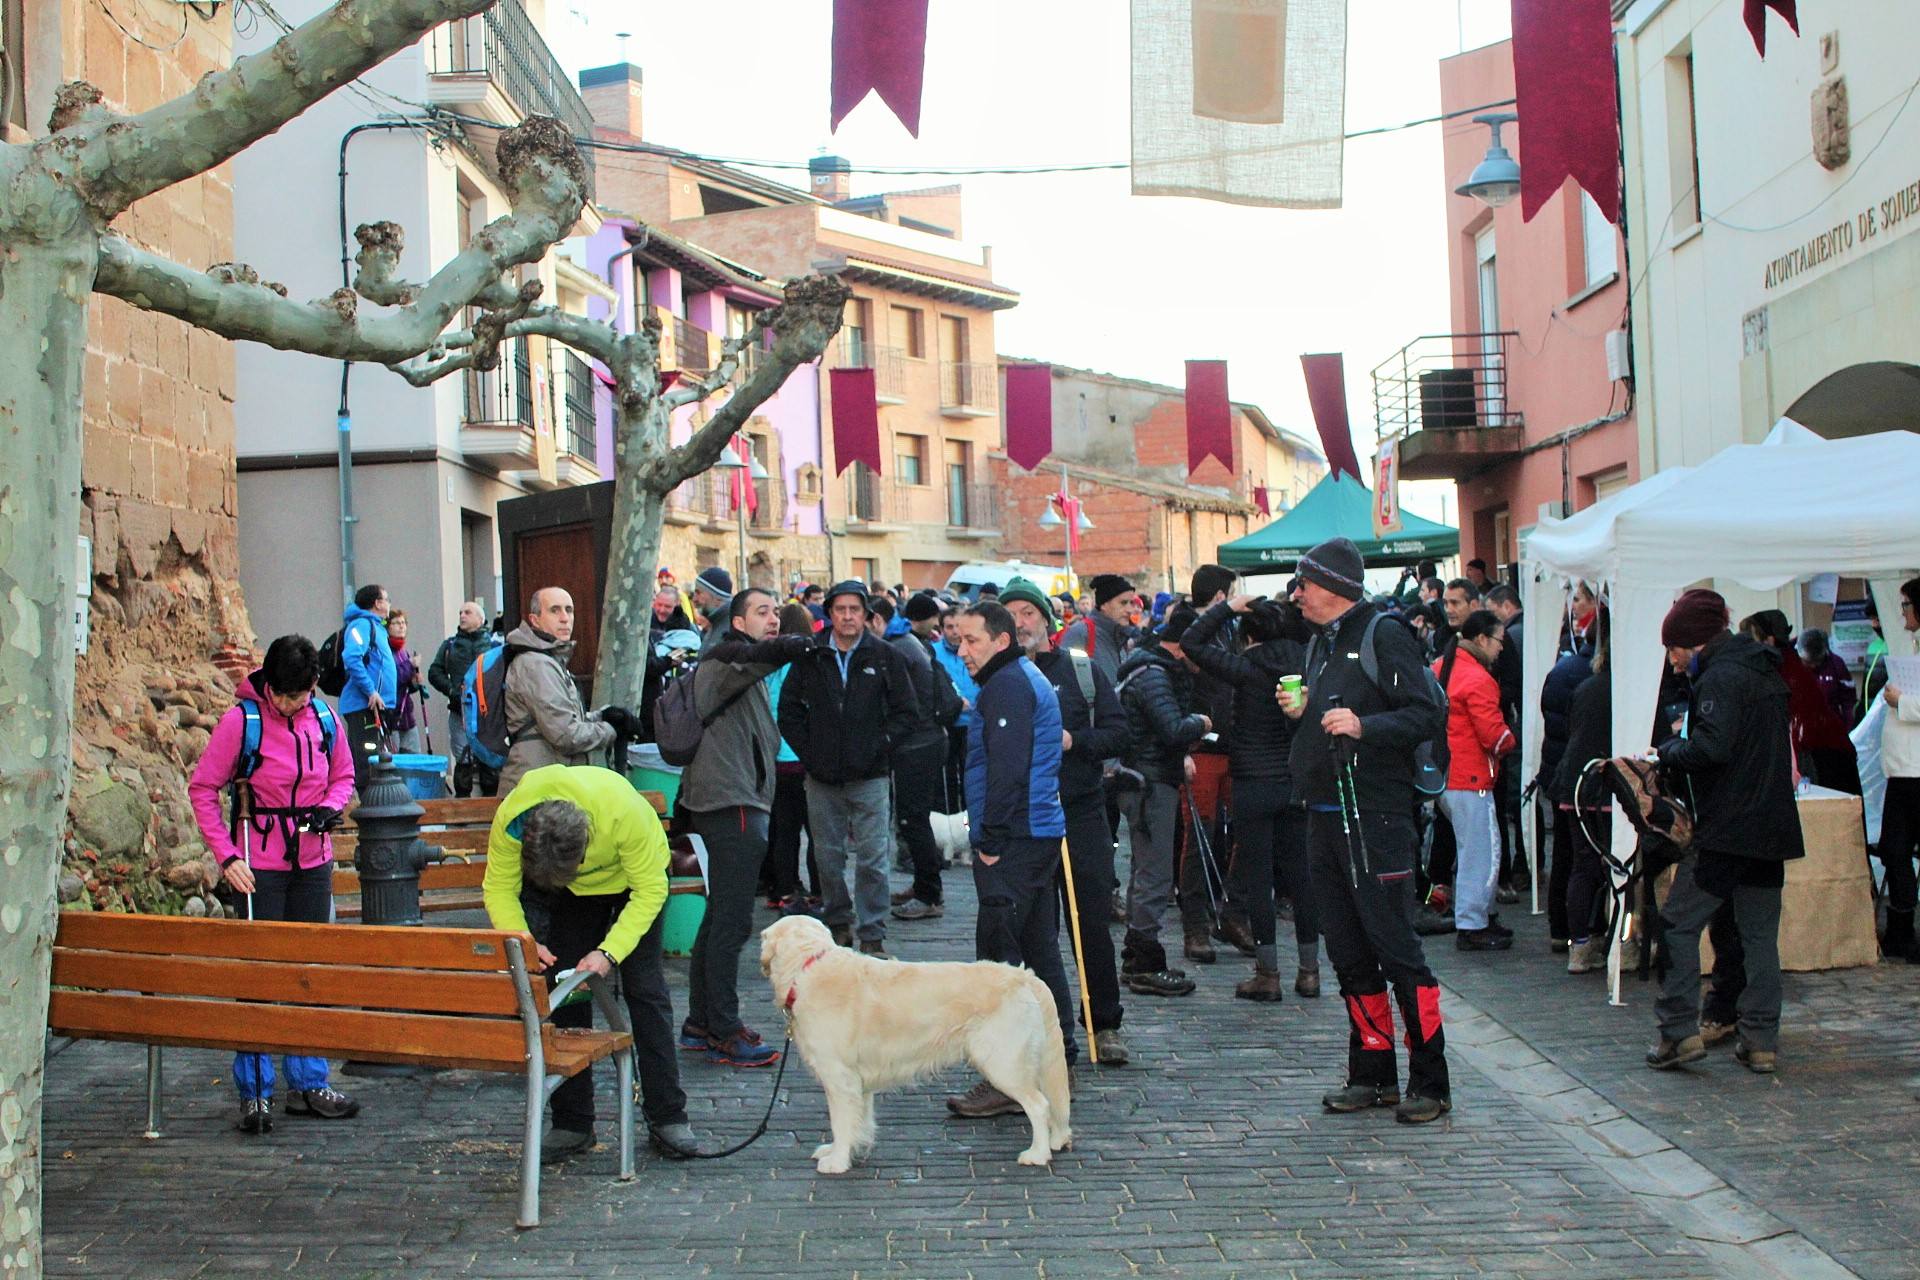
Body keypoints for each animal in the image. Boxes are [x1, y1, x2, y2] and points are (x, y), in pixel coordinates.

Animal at [760, 917, 1067, 1174]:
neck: (807, 968)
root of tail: (1023, 975)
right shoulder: (859, 1083)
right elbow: (860, 1119)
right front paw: (847, 1150)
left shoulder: (839, 1077)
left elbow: (840, 1122)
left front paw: (837, 1161)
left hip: (1003, 1062)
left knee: (1039, 1105)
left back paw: (1037, 1154)